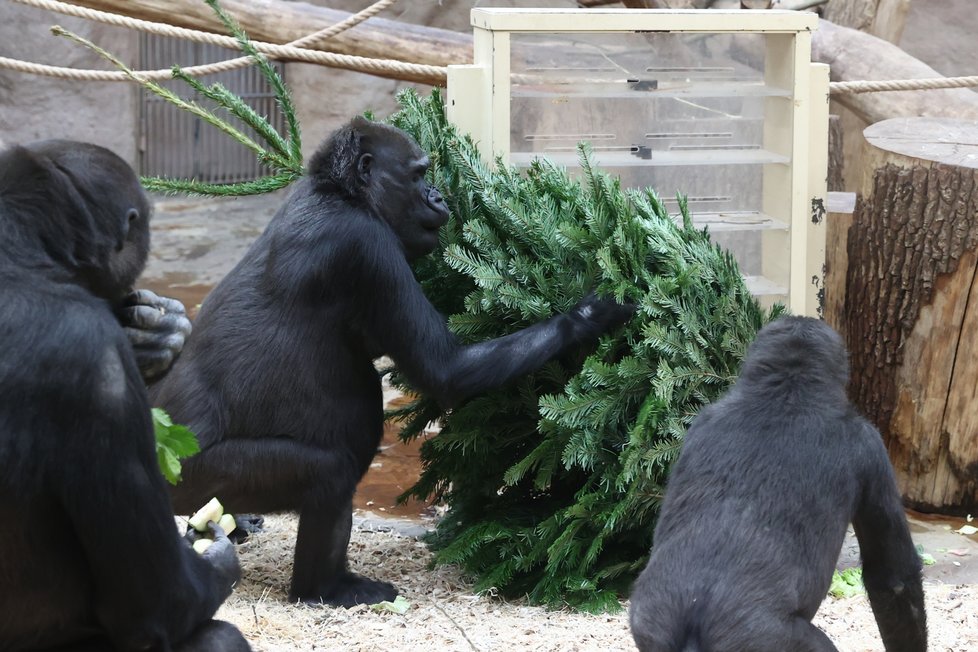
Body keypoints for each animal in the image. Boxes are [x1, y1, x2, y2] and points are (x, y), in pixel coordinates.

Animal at [151, 114, 632, 608]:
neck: (342, 194)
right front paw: (589, 316)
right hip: (194, 476)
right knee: (331, 473)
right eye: (418, 175)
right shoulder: (367, 247)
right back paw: (322, 588)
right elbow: (445, 368)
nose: (438, 195)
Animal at [628, 316, 928, 652]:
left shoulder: (701, 423)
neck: (787, 389)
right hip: (766, 640)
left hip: (650, 625)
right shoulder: (870, 446)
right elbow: (893, 577)